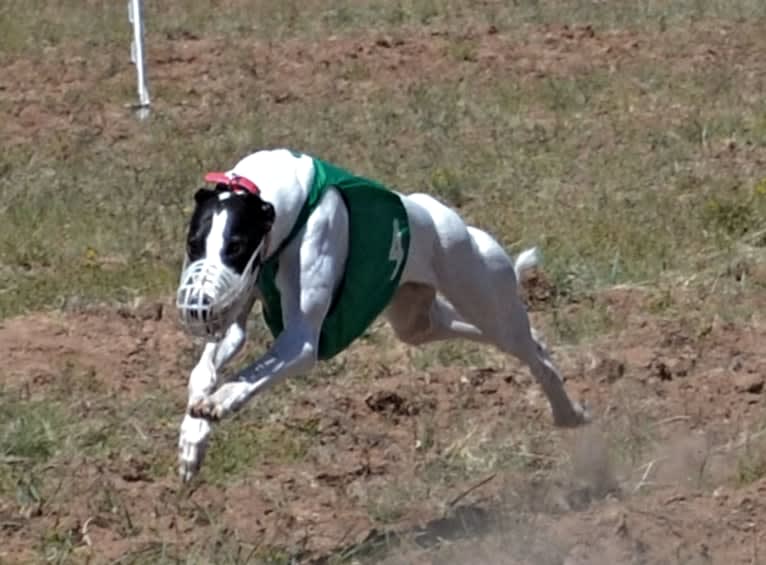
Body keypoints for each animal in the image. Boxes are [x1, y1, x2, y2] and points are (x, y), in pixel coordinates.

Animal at [177, 149, 592, 480]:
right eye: (193, 243)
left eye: (236, 246)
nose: (197, 305)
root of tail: (447, 218)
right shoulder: (235, 314)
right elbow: (204, 369)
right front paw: (192, 438)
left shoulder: (302, 340)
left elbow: (249, 374)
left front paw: (218, 402)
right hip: (418, 321)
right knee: (486, 331)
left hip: (484, 295)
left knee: (530, 351)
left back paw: (568, 411)